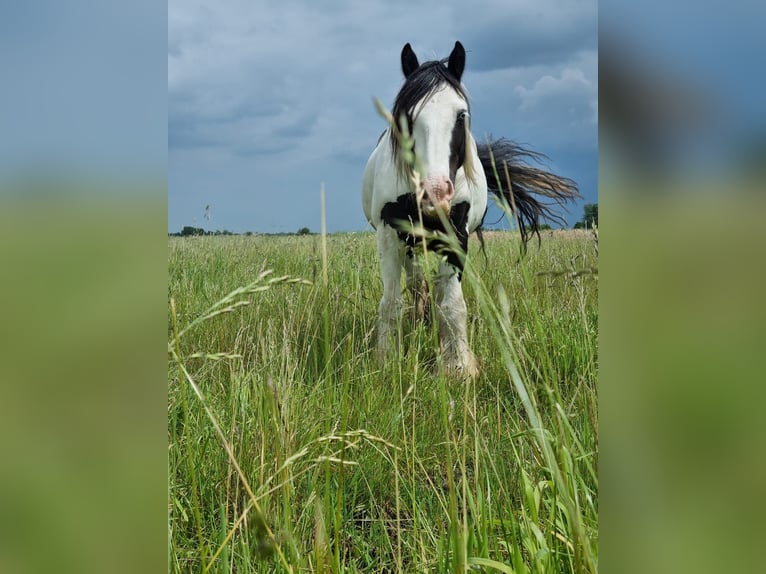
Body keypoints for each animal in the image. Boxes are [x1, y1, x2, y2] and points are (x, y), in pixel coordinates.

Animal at [364, 42, 580, 380]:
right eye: (407, 117)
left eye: (460, 114)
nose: (435, 193)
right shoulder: (389, 234)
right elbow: (390, 303)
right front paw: (386, 360)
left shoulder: (457, 234)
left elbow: (452, 304)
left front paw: (458, 366)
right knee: (415, 284)